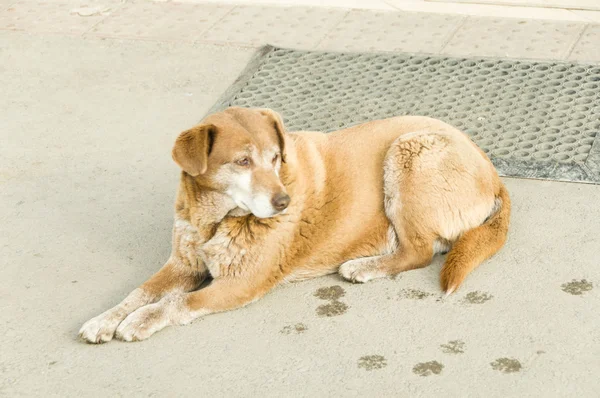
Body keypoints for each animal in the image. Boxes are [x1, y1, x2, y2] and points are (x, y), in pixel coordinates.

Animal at [79, 107, 510, 344]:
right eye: (242, 162)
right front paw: (105, 319)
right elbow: (139, 293)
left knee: (419, 251)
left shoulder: (240, 283)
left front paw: (140, 321)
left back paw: (365, 266)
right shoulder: (182, 264)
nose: (283, 202)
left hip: (409, 150)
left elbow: (175, 303)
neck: (214, 221)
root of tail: (493, 173)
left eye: (274, 157)